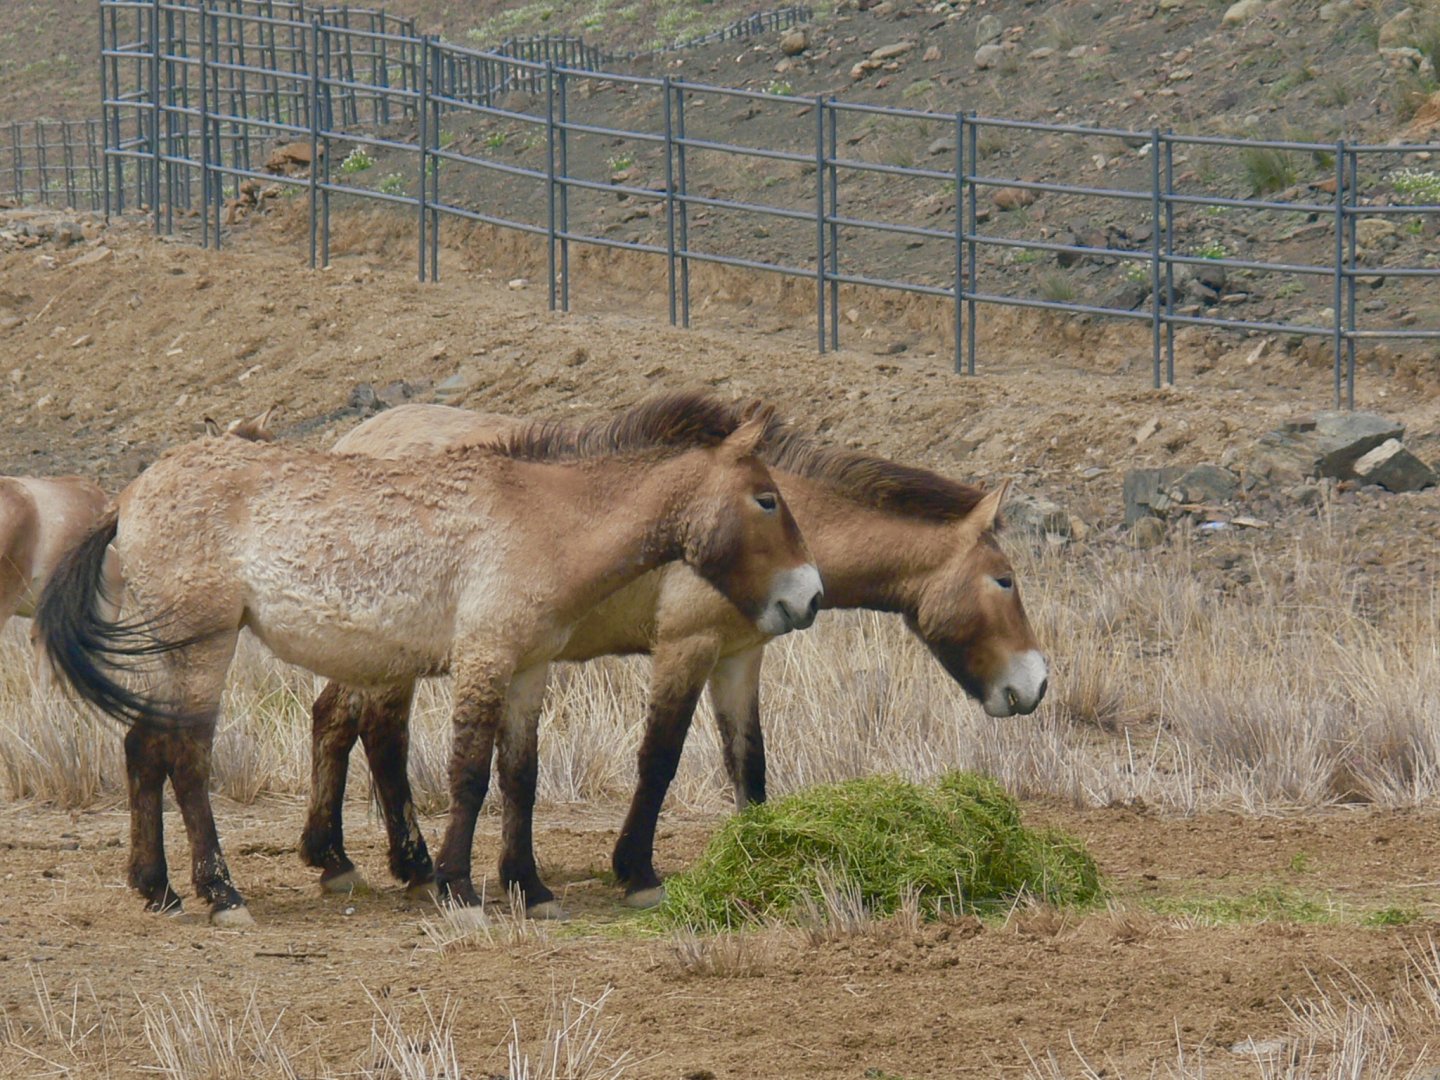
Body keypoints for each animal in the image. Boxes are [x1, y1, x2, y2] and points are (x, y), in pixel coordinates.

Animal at [35, 392, 823, 926]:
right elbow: (469, 774)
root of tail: (129, 495)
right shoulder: (484, 658)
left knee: (145, 746)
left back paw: (158, 887)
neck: (543, 517)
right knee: (189, 757)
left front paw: (531, 888)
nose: (809, 597)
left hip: (176, 651)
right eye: (767, 499)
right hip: (204, 644)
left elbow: (521, 777)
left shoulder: (527, 668)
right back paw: (222, 894)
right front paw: (456, 886)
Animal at [299, 401, 1048, 908]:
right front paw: (636, 871)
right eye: (1004, 580)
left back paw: (338, 855)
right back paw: (405, 864)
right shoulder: (686, 648)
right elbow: (659, 758)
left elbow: (748, 763)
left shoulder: (739, 659)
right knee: (380, 734)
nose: (1035, 684)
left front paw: (763, 856)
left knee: (339, 720)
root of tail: (356, 439)